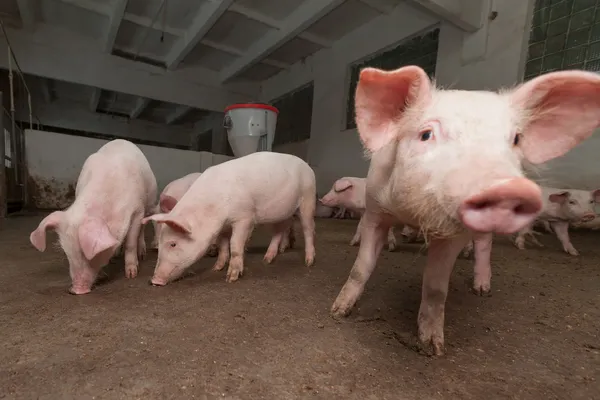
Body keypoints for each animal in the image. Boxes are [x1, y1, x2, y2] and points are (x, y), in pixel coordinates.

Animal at [27, 140, 159, 294]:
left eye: (87, 253)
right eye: (68, 253)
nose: (76, 290)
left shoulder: (137, 209)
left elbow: (131, 242)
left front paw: (131, 275)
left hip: (149, 202)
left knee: (142, 229)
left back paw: (142, 254)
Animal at [143, 152, 316, 286]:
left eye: (173, 243)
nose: (154, 281)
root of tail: (307, 166)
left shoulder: (245, 217)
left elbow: (234, 244)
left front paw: (231, 278)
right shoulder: (223, 226)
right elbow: (223, 245)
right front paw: (216, 268)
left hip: (307, 198)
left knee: (308, 228)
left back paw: (308, 262)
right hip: (282, 212)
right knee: (279, 230)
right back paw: (267, 259)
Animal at [330, 66, 600, 356]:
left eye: (516, 139)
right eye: (426, 134)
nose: (506, 187)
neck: (413, 213)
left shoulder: (454, 234)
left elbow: (436, 286)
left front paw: (434, 347)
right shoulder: (375, 211)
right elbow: (361, 266)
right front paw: (338, 311)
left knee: (483, 247)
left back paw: (481, 288)